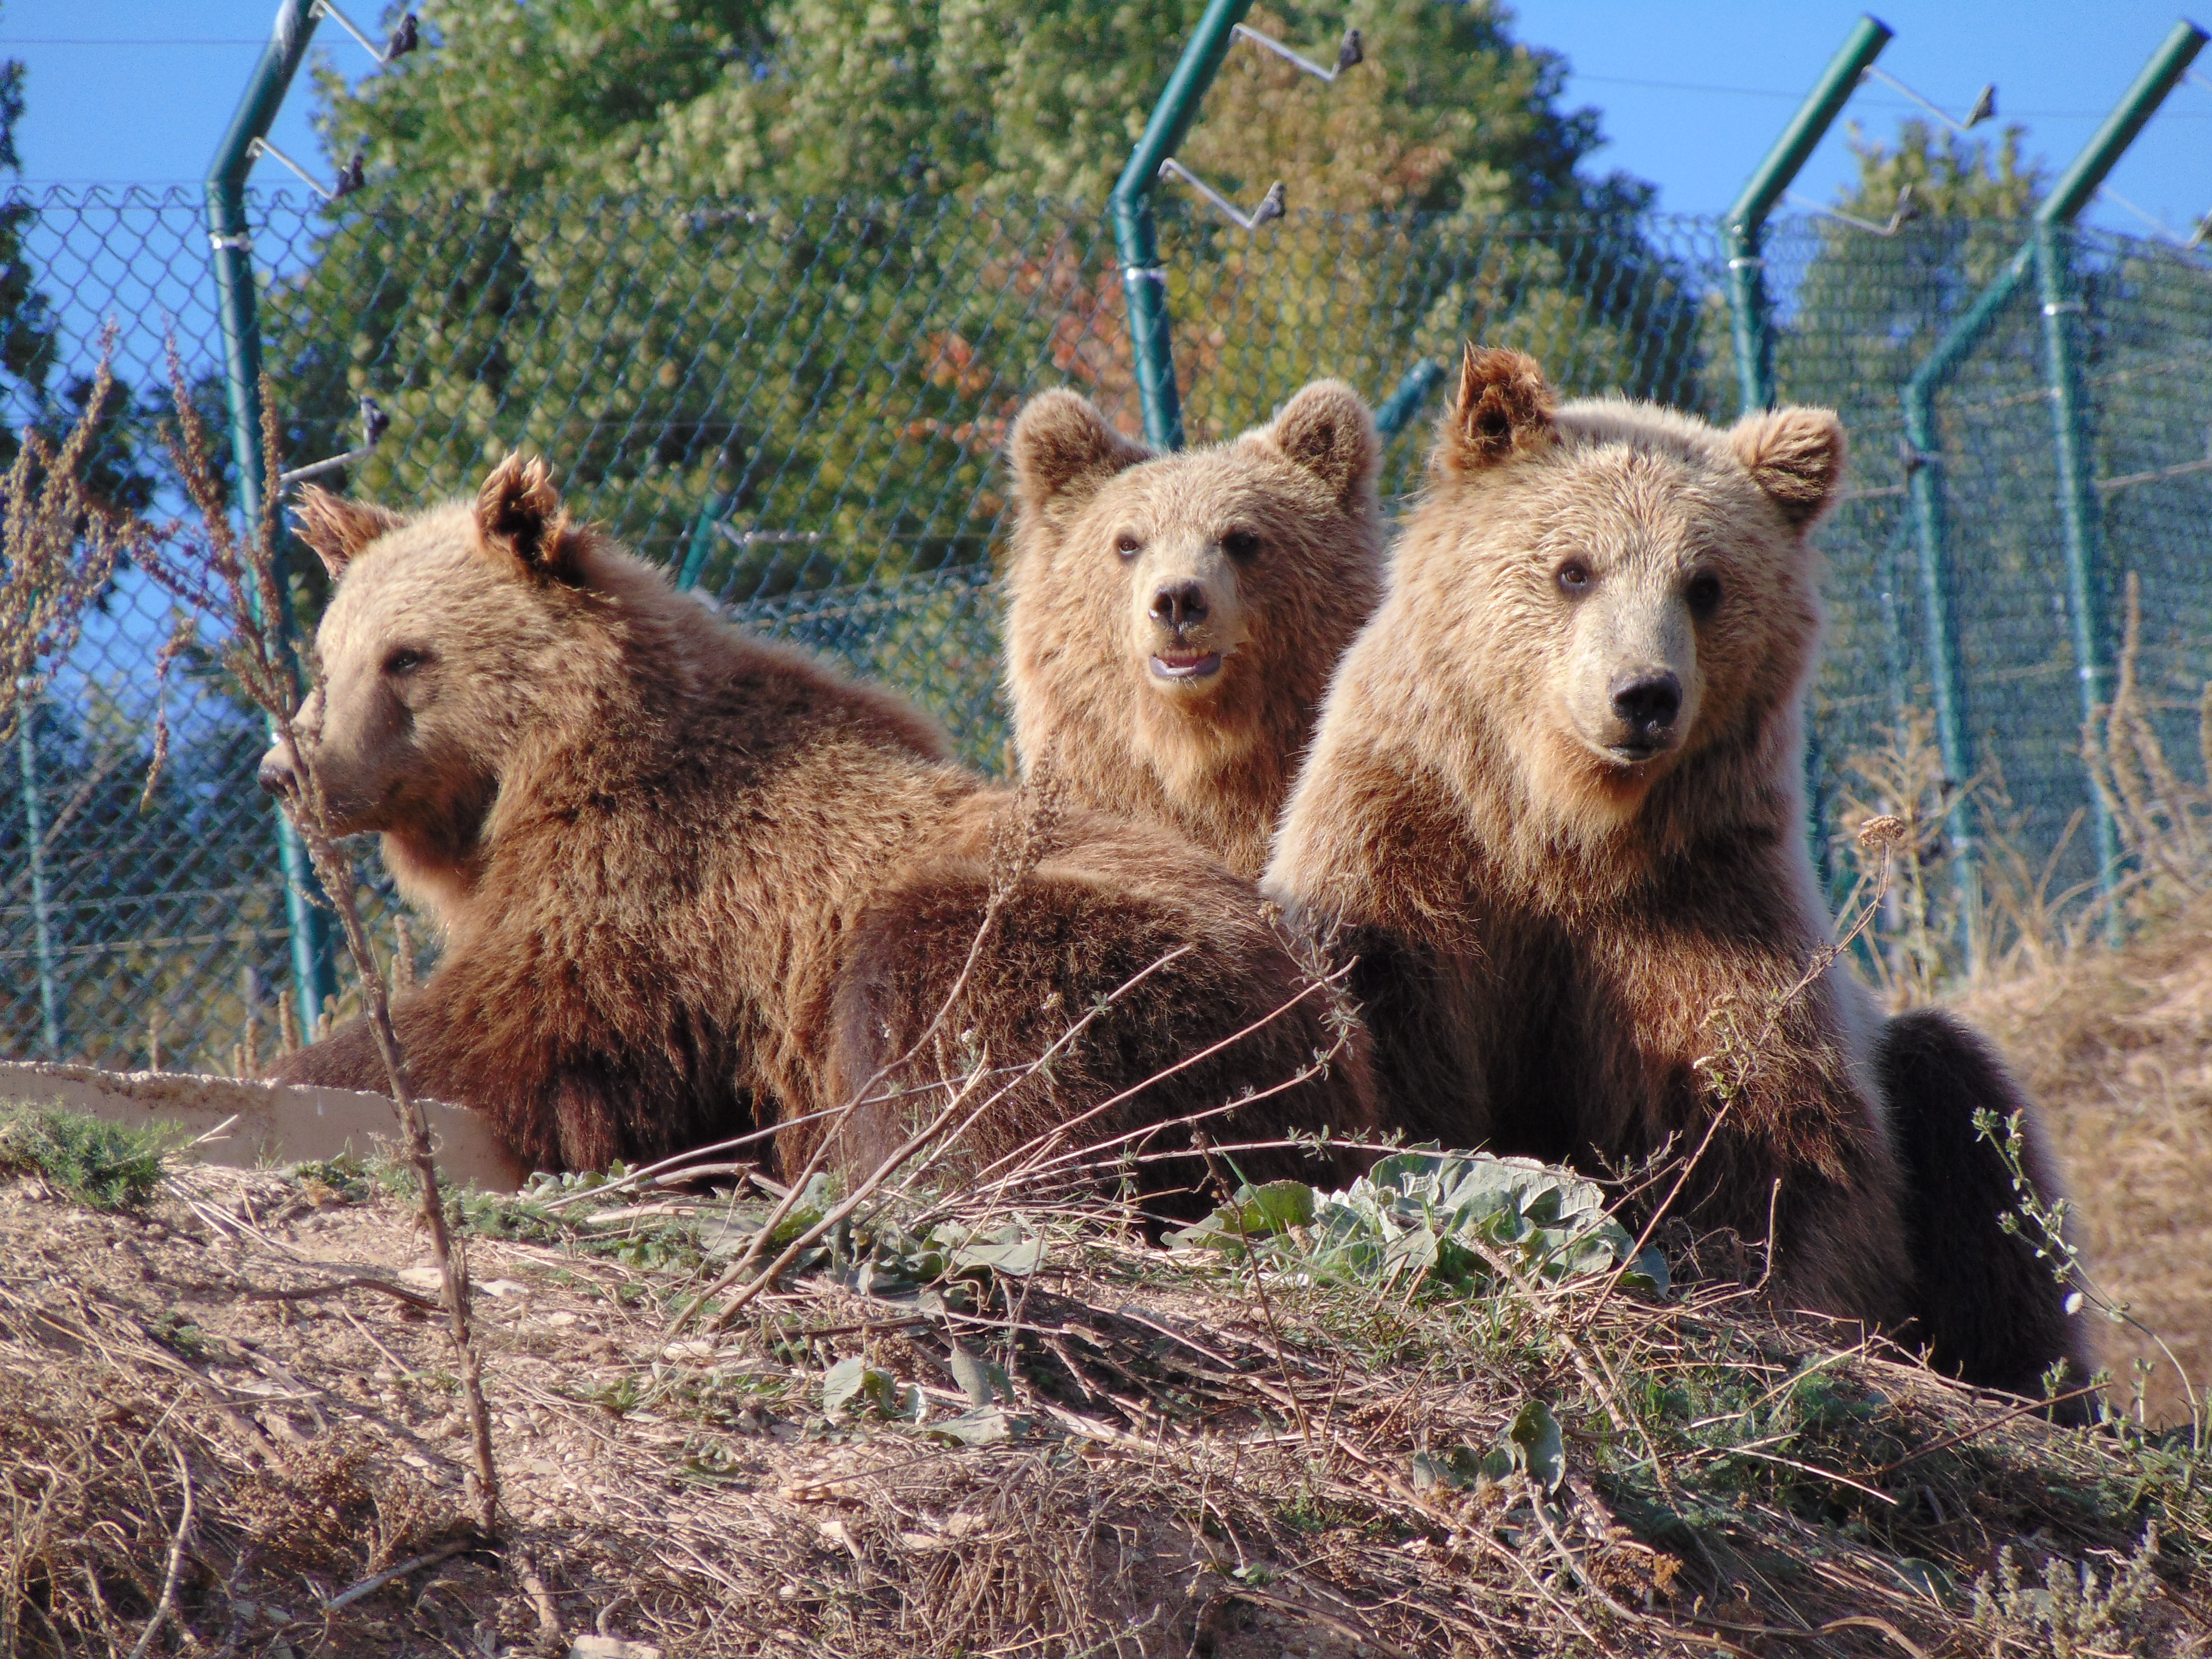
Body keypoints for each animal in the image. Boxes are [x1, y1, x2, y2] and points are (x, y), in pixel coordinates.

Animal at [263, 454, 1374, 1207]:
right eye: (327, 653)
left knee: (943, 1016)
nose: (288, 769)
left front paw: (306, 1074)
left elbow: (510, 1031)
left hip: (1109, 959)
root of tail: (1338, 1043)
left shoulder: (650, 894)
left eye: (406, 657)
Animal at [1263, 344, 2090, 1404]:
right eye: (1572, 568)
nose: (1642, 695)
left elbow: (1766, 1120)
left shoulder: (1698, 896)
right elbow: (1388, 1039)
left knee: (1972, 1128)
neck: (1564, 828)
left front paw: (1750, 1280)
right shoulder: (1413, 843)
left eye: (1704, 584)